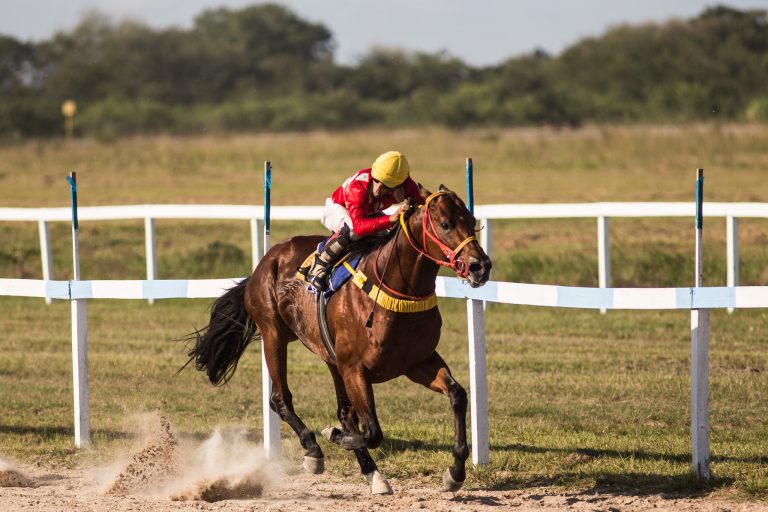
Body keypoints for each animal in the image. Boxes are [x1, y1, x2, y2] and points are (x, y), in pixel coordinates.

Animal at [186, 184, 492, 492]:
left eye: (471, 219)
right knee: (280, 399)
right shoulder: (355, 368)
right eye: (445, 224)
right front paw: (332, 435)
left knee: (343, 412)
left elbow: (457, 395)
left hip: (330, 356)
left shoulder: (418, 362)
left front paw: (455, 471)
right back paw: (313, 450)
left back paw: (371, 472)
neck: (395, 289)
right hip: (274, 335)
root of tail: (265, 261)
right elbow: (371, 431)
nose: (481, 266)